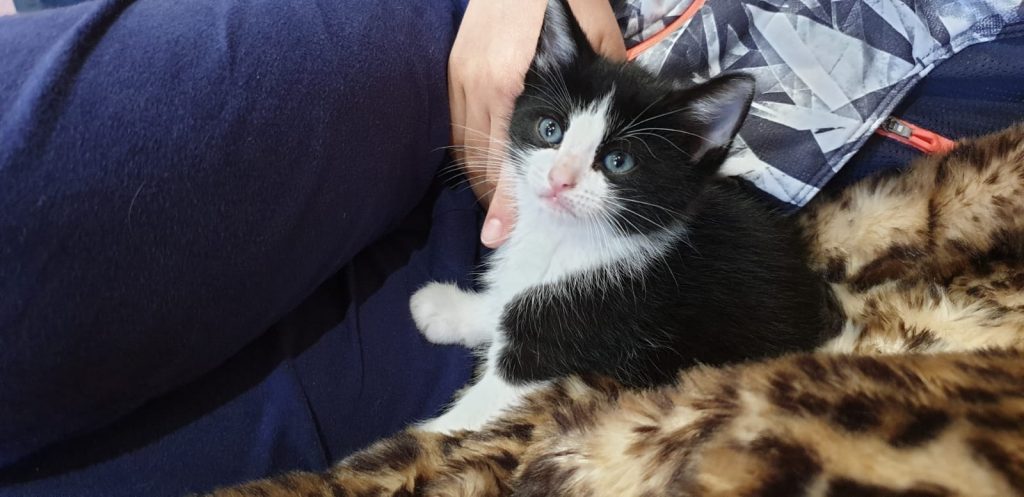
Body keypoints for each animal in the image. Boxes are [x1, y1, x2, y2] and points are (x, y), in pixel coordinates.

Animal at [409, 0, 841, 433]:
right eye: (550, 129)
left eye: (619, 161)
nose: (559, 179)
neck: (563, 239)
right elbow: (505, 305)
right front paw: (450, 309)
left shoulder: (589, 319)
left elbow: (480, 408)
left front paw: (417, 438)